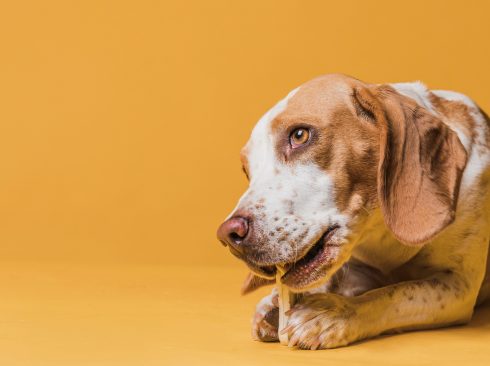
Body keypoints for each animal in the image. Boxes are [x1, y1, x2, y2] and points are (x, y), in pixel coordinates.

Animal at [217, 73, 490, 348]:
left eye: (300, 135)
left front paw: (333, 313)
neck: (381, 233)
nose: (229, 235)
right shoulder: (358, 269)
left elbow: (394, 293)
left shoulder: (458, 285)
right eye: (247, 170)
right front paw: (275, 305)